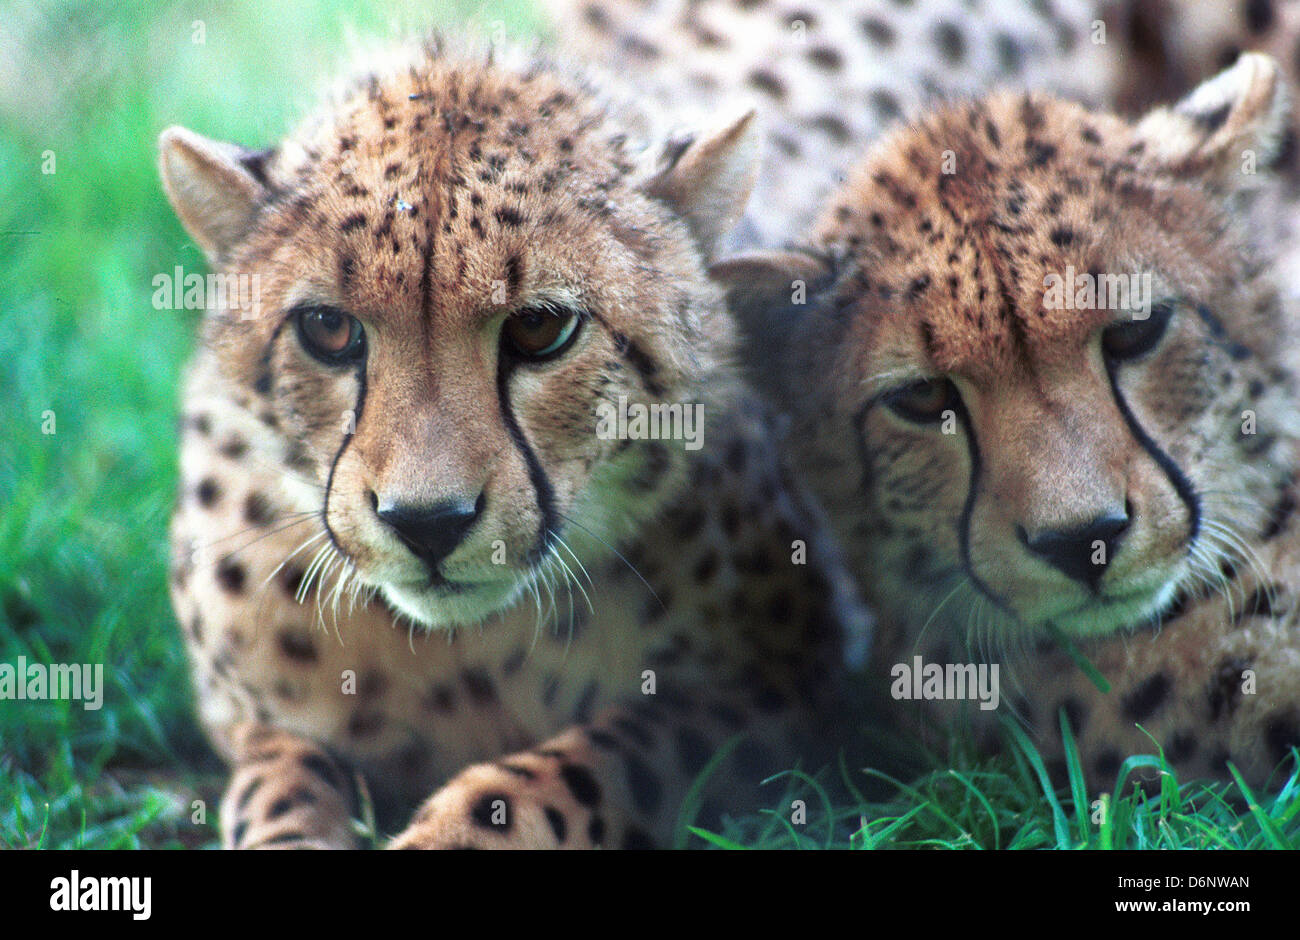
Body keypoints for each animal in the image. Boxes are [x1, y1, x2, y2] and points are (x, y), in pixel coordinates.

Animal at [157, 36, 863, 847]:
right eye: (327, 328)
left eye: (539, 327)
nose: (428, 523)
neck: (461, 658)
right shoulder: (253, 721)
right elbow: (277, 787)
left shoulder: (789, 690)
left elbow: (590, 762)